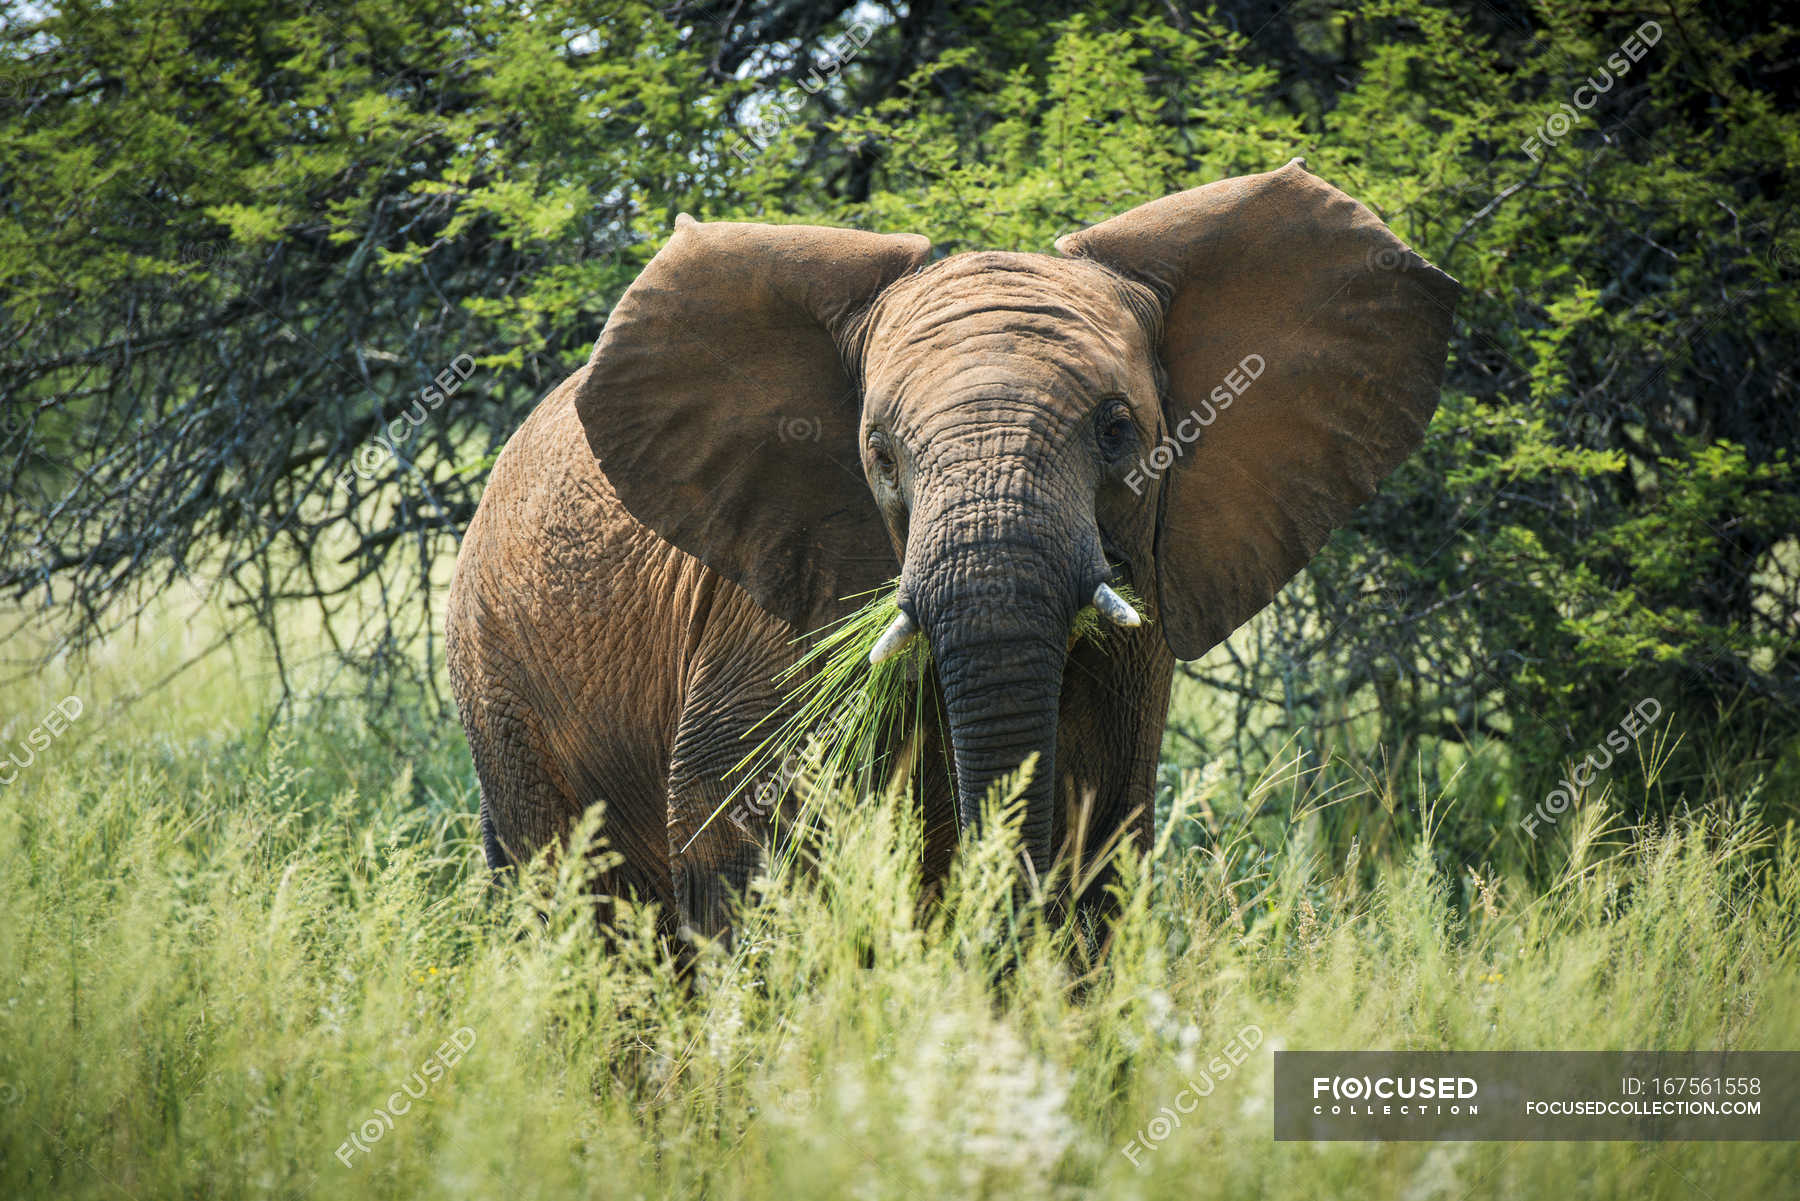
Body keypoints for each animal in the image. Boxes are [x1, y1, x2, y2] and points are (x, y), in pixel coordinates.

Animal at [450, 159, 1461, 943]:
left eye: (1118, 431)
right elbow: (742, 813)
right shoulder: (771, 597)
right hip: (501, 683)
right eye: (880, 456)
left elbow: (1101, 835)